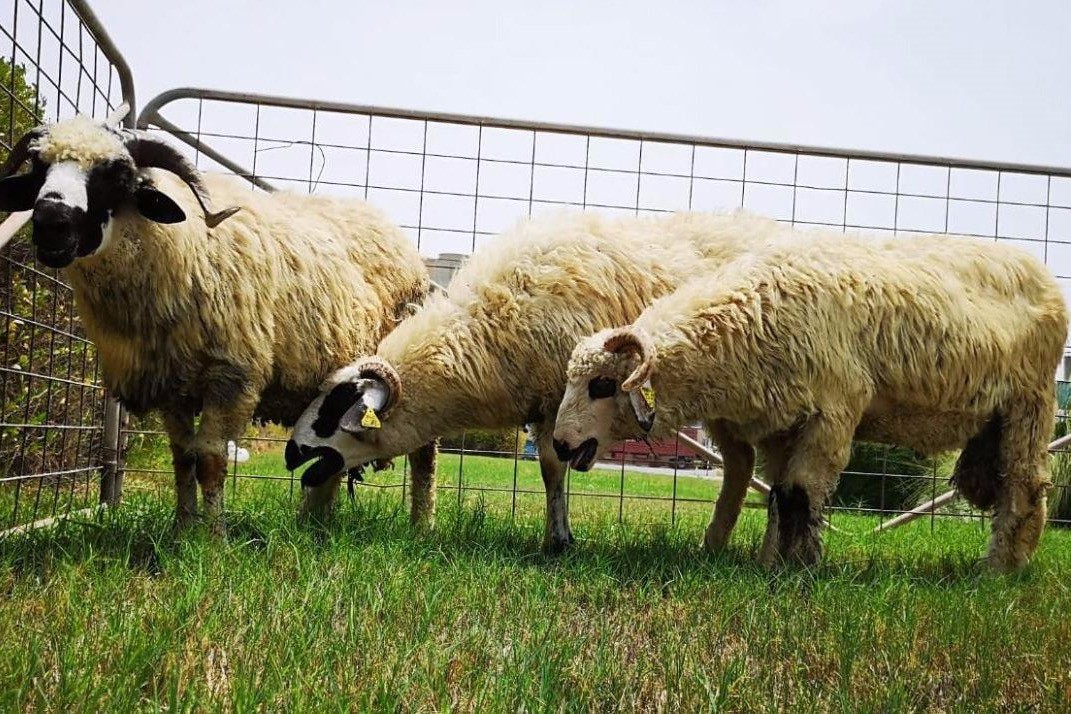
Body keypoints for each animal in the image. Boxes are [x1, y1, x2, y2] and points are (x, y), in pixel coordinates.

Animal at [0, 112, 435, 535]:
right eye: (39, 167)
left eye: (117, 174)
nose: (50, 222)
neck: (184, 243)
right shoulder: (171, 384)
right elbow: (182, 460)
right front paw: (181, 530)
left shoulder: (232, 377)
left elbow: (210, 460)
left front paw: (213, 540)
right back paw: (314, 523)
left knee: (423, 452)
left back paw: (421, 524)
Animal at [285, 209, 778, 553]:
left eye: (331, 415)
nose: (290, 454)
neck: (482, 335)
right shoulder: (546, 406)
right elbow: (550, 469)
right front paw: (559, 537)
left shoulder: (562, 399)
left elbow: (552, 466)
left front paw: (556, 542)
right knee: (741, 463)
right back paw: (715, 544)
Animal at [552, 228, 1068, 571]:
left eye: (602, 385)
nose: (558, 443)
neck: (751, 316)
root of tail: (1041, 273)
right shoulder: (781, 423)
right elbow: (779, 497)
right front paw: (769, 563)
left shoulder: (835, 409)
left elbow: (800, 493)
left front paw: (799, 570)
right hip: (995, 417)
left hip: (1030, 402)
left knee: (1024, 485)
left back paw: (999, 571)